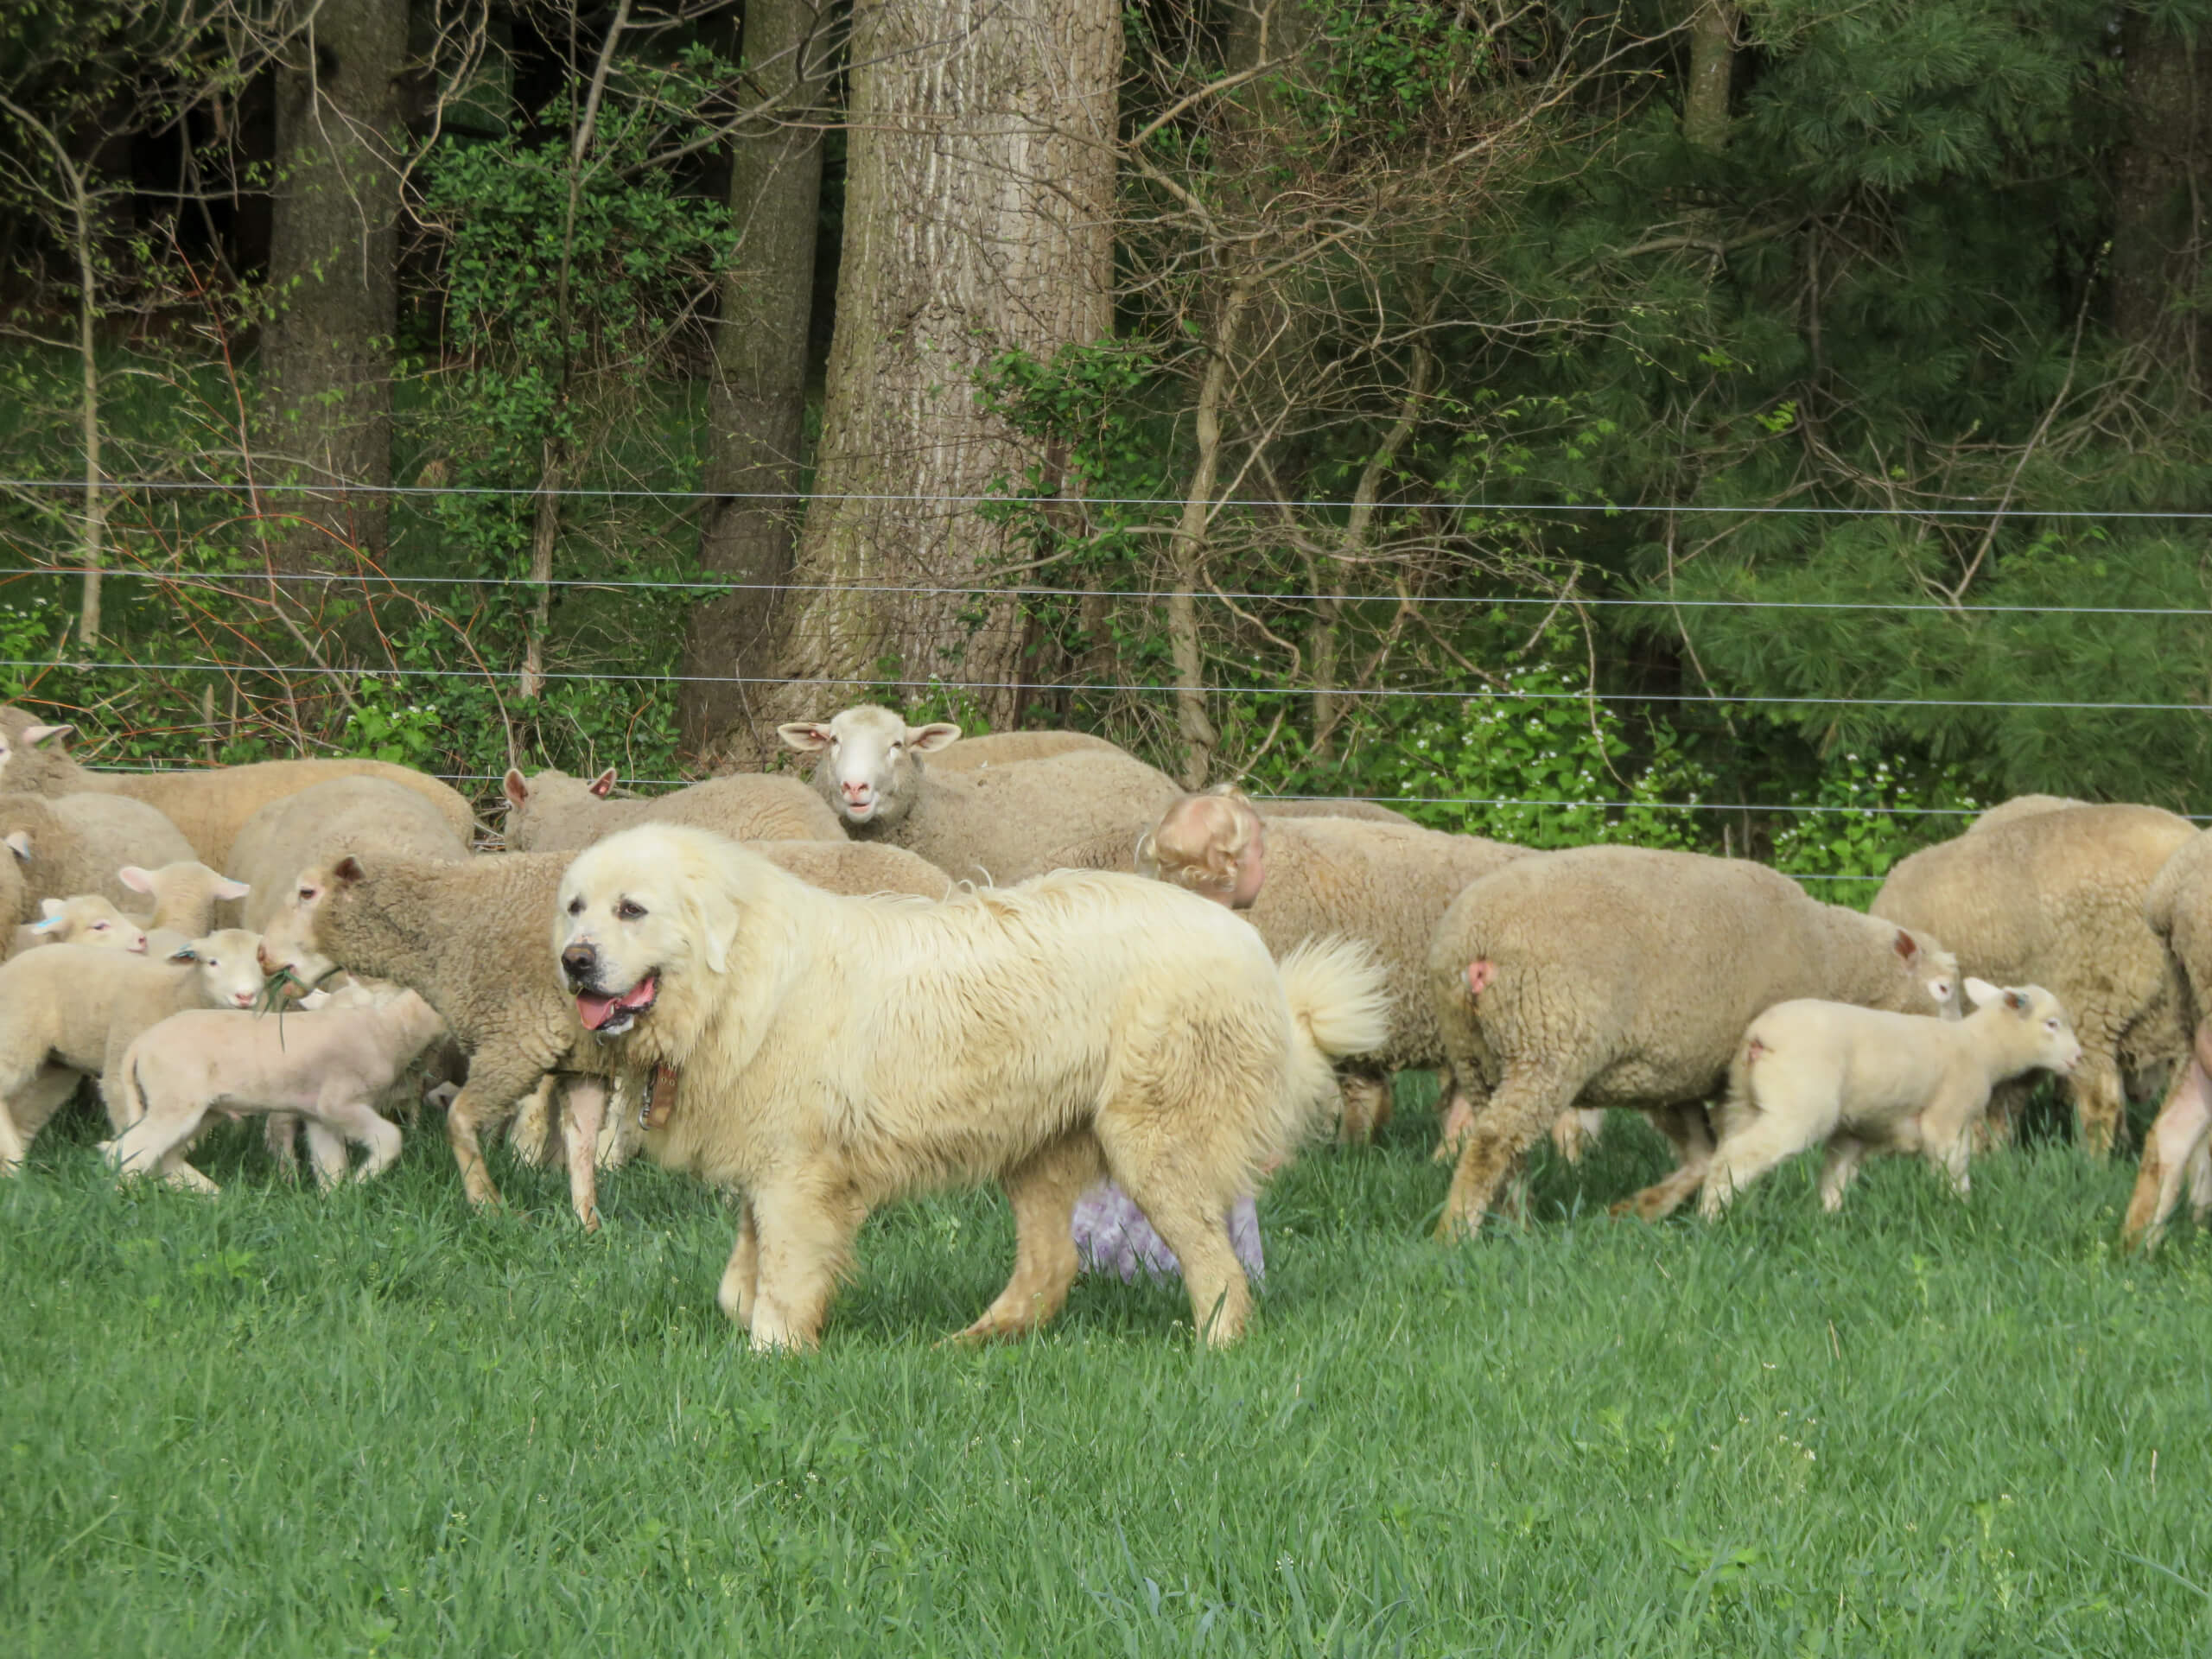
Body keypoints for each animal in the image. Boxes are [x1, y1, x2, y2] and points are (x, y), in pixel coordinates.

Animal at [0, 929, 267, 1173]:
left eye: (259, 962)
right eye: (212, 962)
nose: (245, 996)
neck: (177, 992)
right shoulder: (123, 1065)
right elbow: (131, 1125)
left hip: (58, 1064)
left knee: (26, 1113)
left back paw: (15, 1169)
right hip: (16, 1033)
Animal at [100, 987, 448, 1194]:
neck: (388, 1028)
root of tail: (140, 1046)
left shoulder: (318, 1113)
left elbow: (330, 1162)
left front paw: (337, 1203)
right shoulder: (338, 1103)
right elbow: (390, 1137)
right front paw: (363, 1180)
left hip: (202, 1109)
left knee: (163, 1155)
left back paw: (214, 1196)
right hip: (176, 1101)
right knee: (127, 1151)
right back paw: (126, 1198)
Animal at [1425, 845, 1960, 1237]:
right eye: (1943, 989)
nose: (1952, 1040)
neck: (1833, 961)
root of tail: (1475, 943)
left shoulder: (1672, 1072)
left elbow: (1702, 1154)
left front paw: (1639, 1209)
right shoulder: (1735, 1073)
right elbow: (1727, 1149)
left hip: (1476, 1056)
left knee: (1503, 1145)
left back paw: (1518, 1222)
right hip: (1549, 1043)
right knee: (1494, 1142)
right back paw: (1457, 1233)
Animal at [1699, 980, 2083, 1218]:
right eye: (2052, 1024)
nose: (2078, 1057)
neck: (1982, 1048)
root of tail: (1760, 1035)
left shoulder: (1853, 1134)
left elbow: (1835, 1179)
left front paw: (1829, 1222)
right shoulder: (1947, 1120)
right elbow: (1955, 1172)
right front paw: (1960, 1209)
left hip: (1744, 1100)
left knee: (1729, 1149)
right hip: (1799, 1108)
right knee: (1735, 1157)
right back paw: (1712, 1216)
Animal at [1870, 802, 2197, 1157]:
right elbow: (2005, 1096)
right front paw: (1992, 1151)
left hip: (2095, 997)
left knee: (2101, 1100)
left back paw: (2090, 1160)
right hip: (2176, 1015)